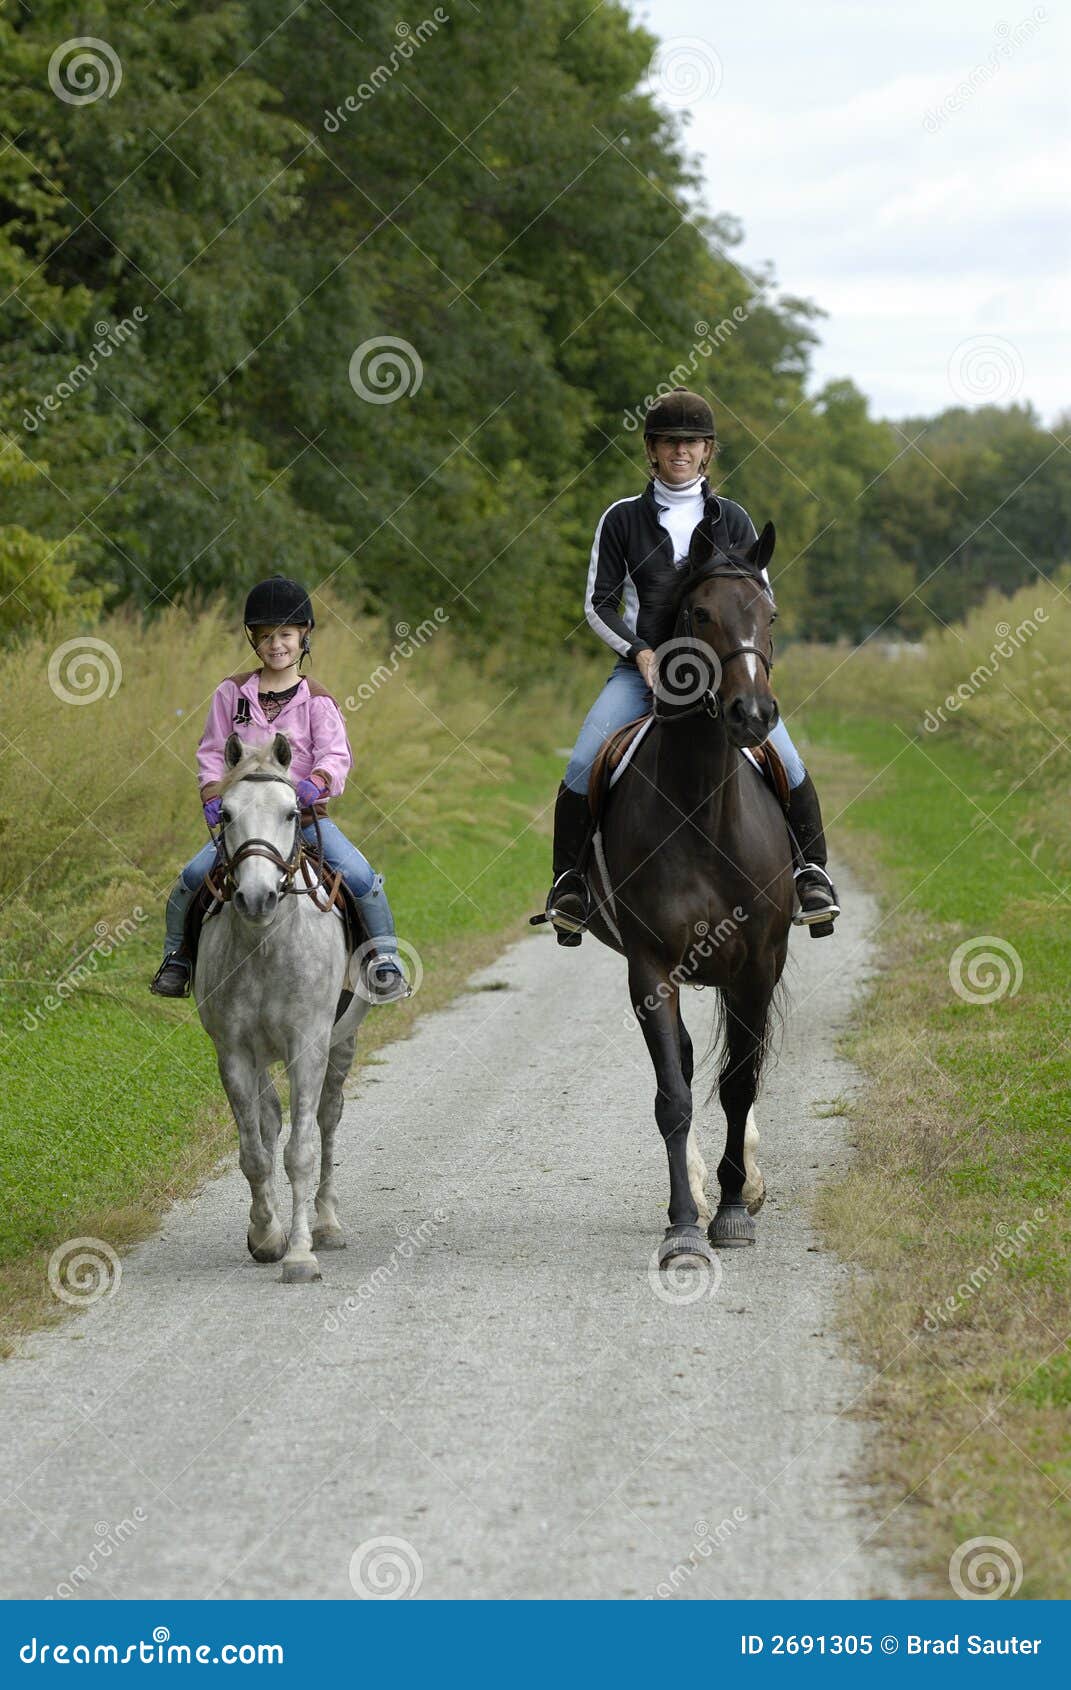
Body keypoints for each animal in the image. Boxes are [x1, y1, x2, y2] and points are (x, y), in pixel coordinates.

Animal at [194, 732, 372, 1284]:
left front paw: (300, 1255)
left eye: (293, 812)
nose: (257, 898)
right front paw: (266, 1236)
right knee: (270, 1120)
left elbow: (300, 1152)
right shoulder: (233, 1053)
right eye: (226, 813)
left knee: (328, 1118)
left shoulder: (307, 1046)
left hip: (342, 1042)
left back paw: (328, 1225)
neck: (265, 943)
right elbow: (254, 1151)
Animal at [586, 520, 794, 1268]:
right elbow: (673, 1096)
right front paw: (684, 1222)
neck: (700, 809)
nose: (752, 713)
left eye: (768, 614)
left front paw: (733, 1209)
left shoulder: (759, 964)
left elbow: (738, 1084)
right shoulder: (649, 967)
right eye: (699, 614)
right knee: (681, 1061)